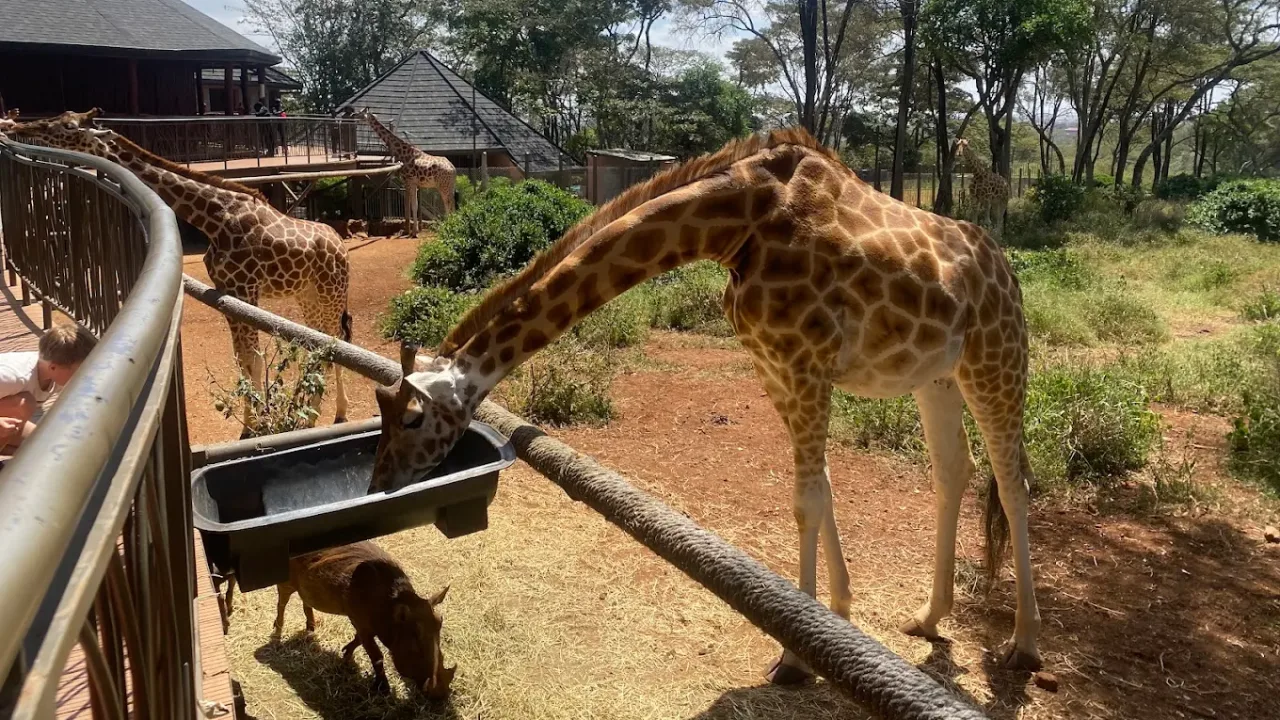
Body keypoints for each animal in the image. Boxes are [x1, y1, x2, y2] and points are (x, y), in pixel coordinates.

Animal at [10, 109, 352, 435]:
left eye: (68, 126)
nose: (18, 126)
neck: (214, 219)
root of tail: (341, 246)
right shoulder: (228, 293)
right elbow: (243, 360)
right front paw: (251, 425)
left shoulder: (246, 289)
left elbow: (252, 359)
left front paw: (259, 425)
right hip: (307, 294)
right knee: (319, 344)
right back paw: (309, 412)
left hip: (331, 292)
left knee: (335, 342)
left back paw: (332, 413)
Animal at [368, 127, 1044, 680]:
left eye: (411, 418)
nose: (378, 484)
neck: (734, 225)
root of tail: (1005, 269)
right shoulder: (776, 368)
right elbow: (821, 492)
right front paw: (836, 621)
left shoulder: (805, 365)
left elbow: (805, 502)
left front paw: (795, 657)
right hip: (936, 377)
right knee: (953, 470)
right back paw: (930, 618)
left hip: (997, 357)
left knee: (1012, 482)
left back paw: (1023, 646)